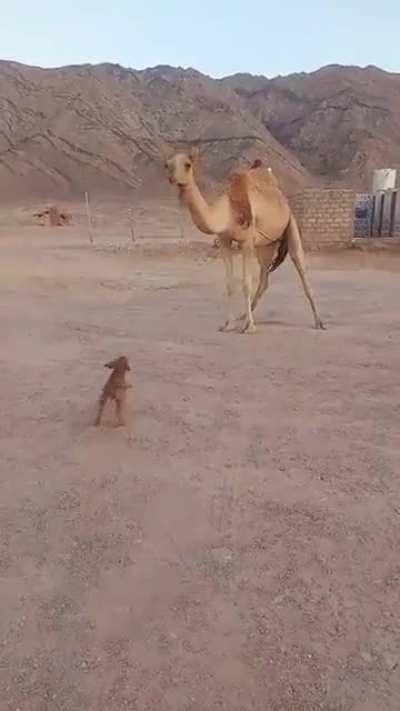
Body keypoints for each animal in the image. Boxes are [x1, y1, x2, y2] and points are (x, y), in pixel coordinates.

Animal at [164, 148, 325, 334]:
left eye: (188, 164)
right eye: (167, 165)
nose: (173, 178)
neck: (227, 212)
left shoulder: (246, 241)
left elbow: (246, 283)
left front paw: (249, 327)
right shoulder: (225, 240)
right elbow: (229, 283)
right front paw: (228, 324)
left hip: (290, 223)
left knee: (301, 268)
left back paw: (319, 322)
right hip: (266, 245)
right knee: (264, 278)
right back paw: (243, 316)